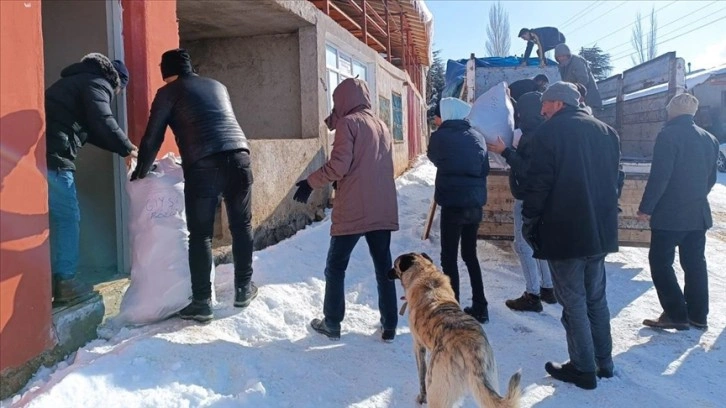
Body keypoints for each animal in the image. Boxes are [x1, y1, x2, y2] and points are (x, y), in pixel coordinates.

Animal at [390, 252, 520, 408]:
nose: (387, 272)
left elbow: (421, 375)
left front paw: (421, 397)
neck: (425, 273)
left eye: (394, 265)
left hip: (436, 388)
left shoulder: (418, 345)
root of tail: (469, 347)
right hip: (488, 381)